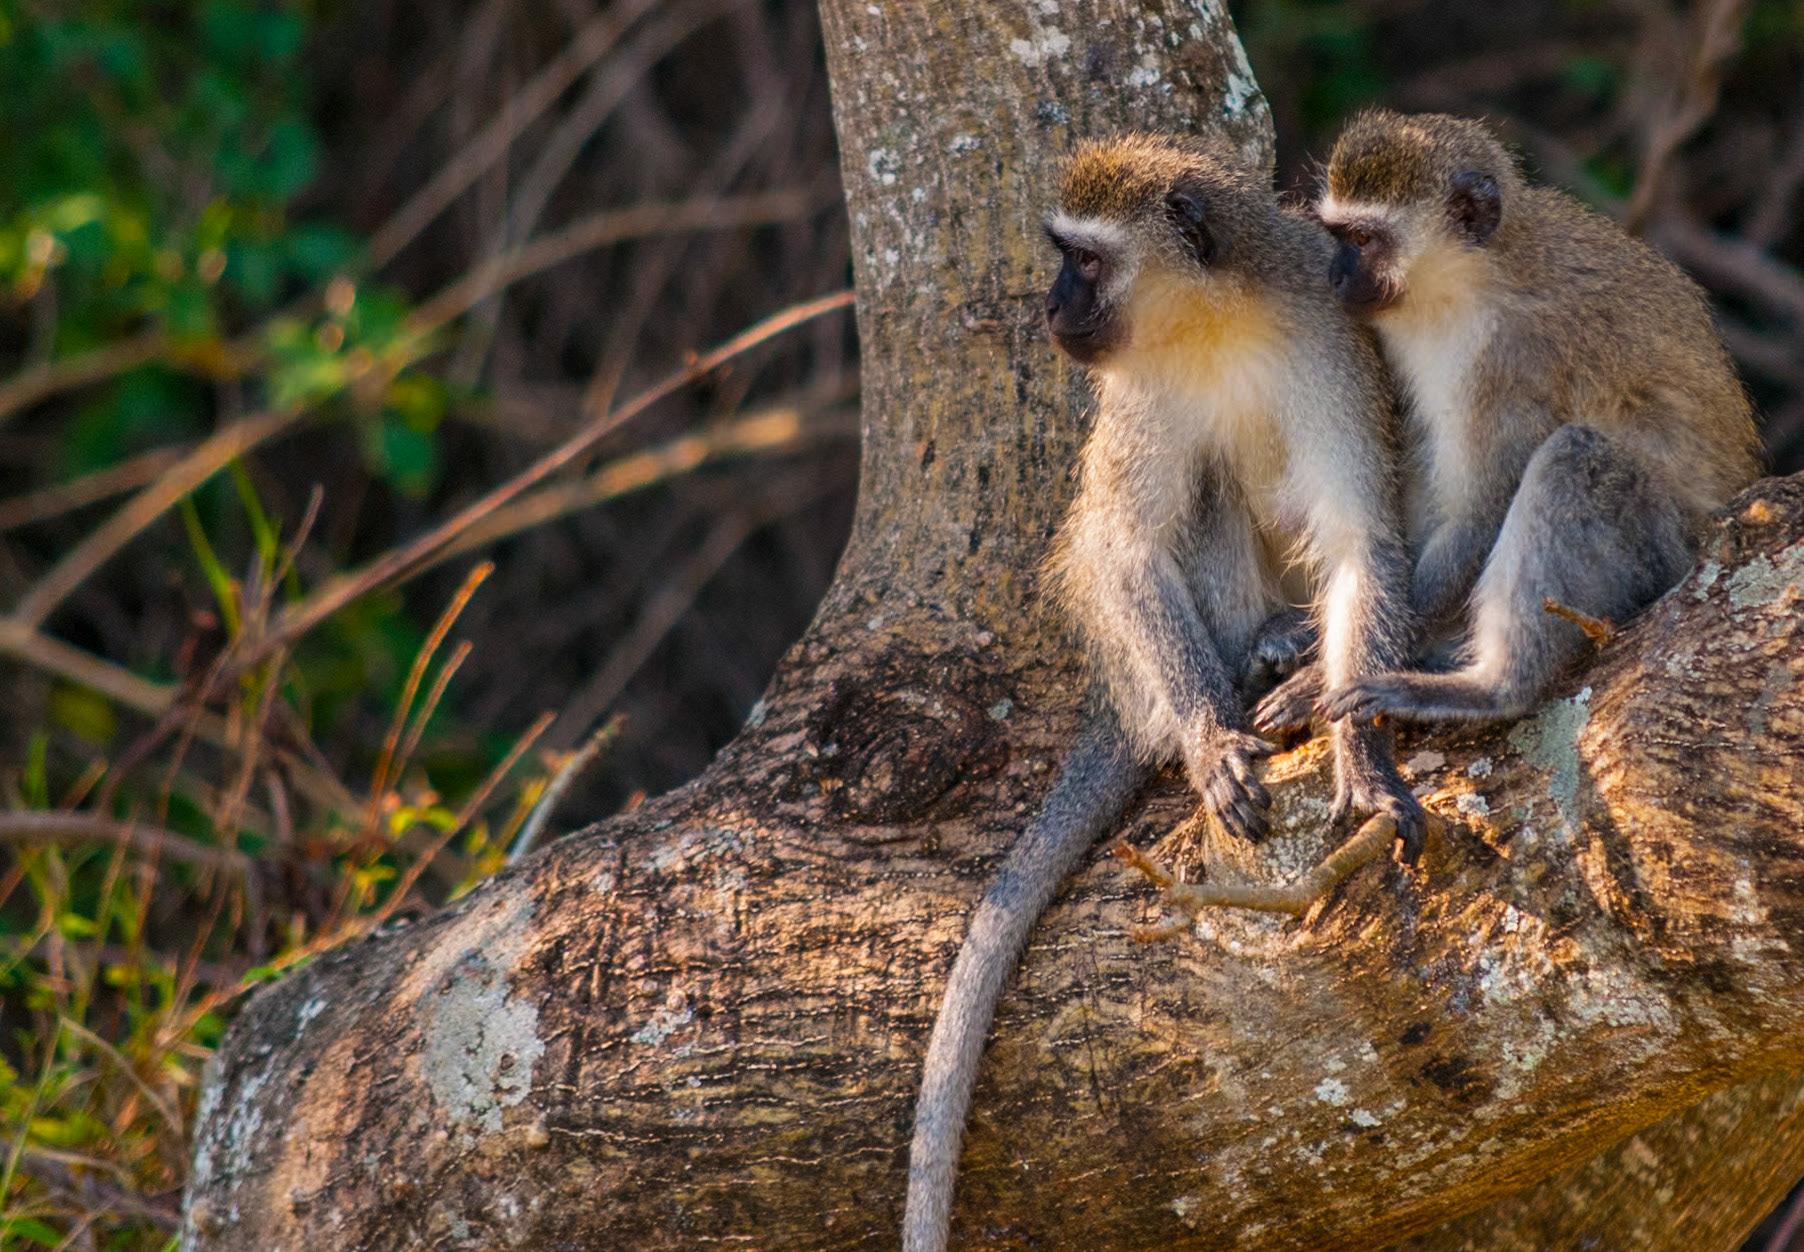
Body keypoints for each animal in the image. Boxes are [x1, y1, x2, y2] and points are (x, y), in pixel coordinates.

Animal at [902, 133, 1425, 1252]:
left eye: (1086, 261)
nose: (1050, 305)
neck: (1216, 319)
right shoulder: (1140, 393)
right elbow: (1127, 547)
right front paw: (1208, 740)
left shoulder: (1329, 340)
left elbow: (1364, 538)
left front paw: (1360, 750)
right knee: (1202, 493)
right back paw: (1240, 672)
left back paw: (1293, 655)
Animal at [1253, 109, 1758, 736]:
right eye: (1338, 236)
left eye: (1364, 241)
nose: (1333, 278)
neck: (1473, 282)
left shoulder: (1512, 357)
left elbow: (1480, 513)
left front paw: (1319, 676)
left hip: (1660, 552)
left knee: (1576, 458)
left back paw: (1491, 690)